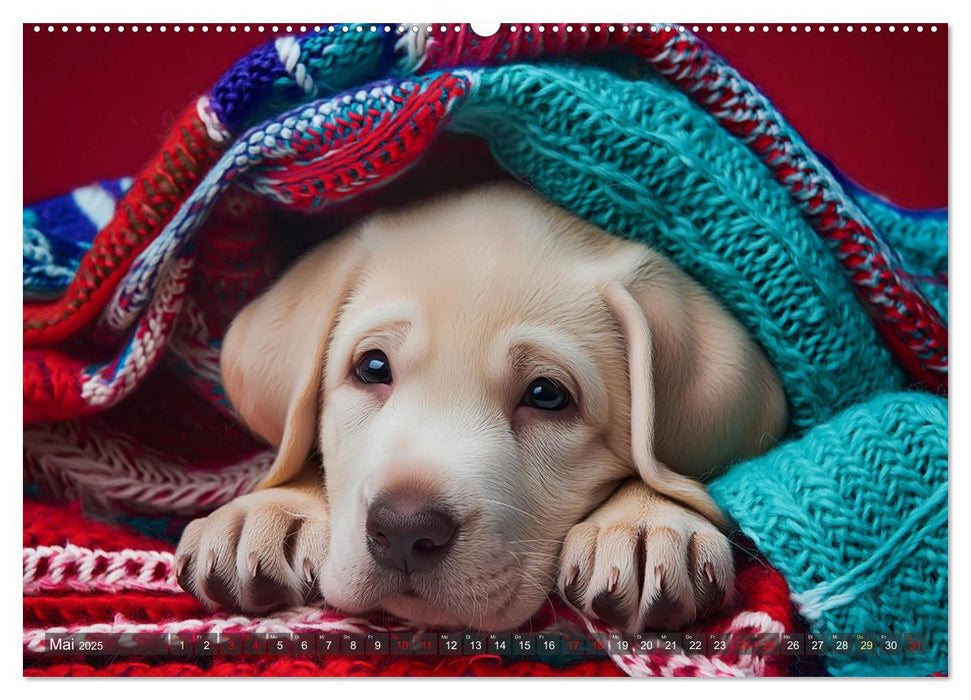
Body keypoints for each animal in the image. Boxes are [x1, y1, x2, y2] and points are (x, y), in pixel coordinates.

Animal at [173, 183, 788, 632]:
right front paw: (271, 509)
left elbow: (659, 468)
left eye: (547, 395)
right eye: (372, 368)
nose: (404, 529)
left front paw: (647, 520)